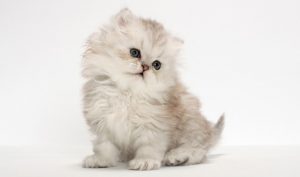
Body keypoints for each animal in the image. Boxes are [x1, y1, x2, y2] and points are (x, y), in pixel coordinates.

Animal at [81, 8, 224, 170]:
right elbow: (103, 147)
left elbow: (149, 147)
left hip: (192, 124)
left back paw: (177, 157)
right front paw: (100, 160)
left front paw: (145, 161)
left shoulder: (153, 127)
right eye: (134, 52)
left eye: (157, 65)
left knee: (198, 150)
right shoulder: (103, 125)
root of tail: (210, 132)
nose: (145, 67)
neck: (128, 92)